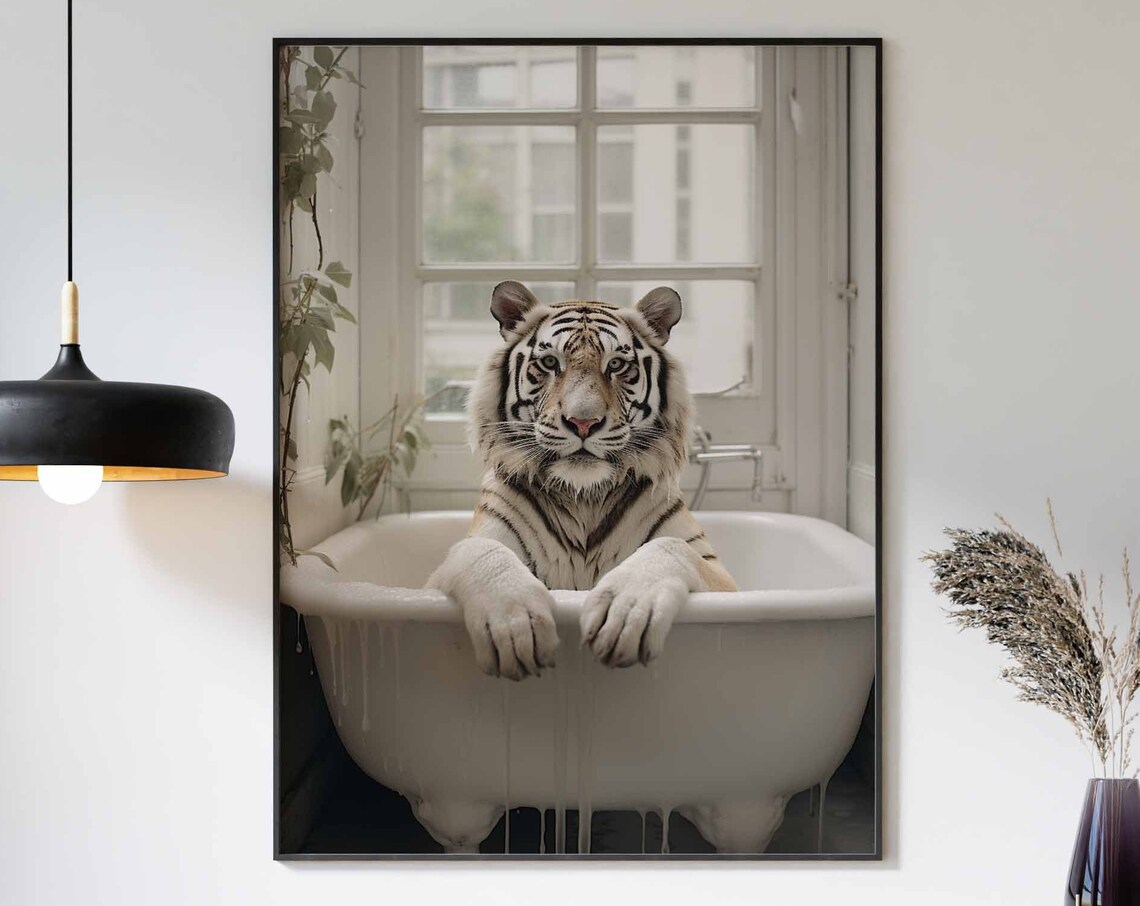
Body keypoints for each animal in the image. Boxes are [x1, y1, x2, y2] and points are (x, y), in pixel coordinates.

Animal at [426, 280, 737, 680]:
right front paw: (515, 625)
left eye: (617, 364)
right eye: (549, 363)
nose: (583, 422)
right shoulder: (448, 567)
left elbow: (668, 547)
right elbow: (481, 551)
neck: (583, 495)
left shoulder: (721, 577)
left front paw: (626, 610)